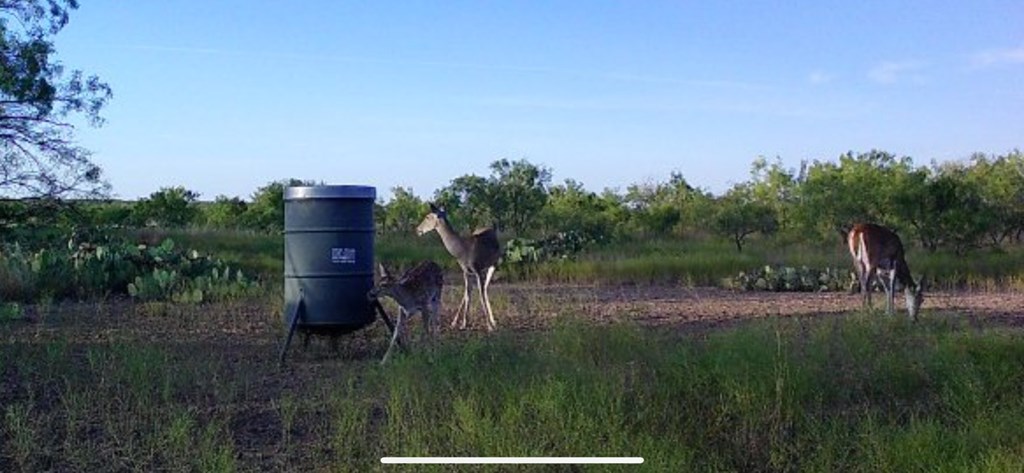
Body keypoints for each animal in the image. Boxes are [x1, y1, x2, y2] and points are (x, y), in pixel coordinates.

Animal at [411, 203, 499, 331]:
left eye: (428, 217)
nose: (418, 230)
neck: (461, 250)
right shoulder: (466, 271)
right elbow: (467, 295)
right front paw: (463, 323)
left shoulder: (477, 269)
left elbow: (480, 295)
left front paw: (489, 326)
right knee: (472, 291)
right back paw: (455, 321)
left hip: (493, 265)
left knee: (485, 289)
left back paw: (493, 321)